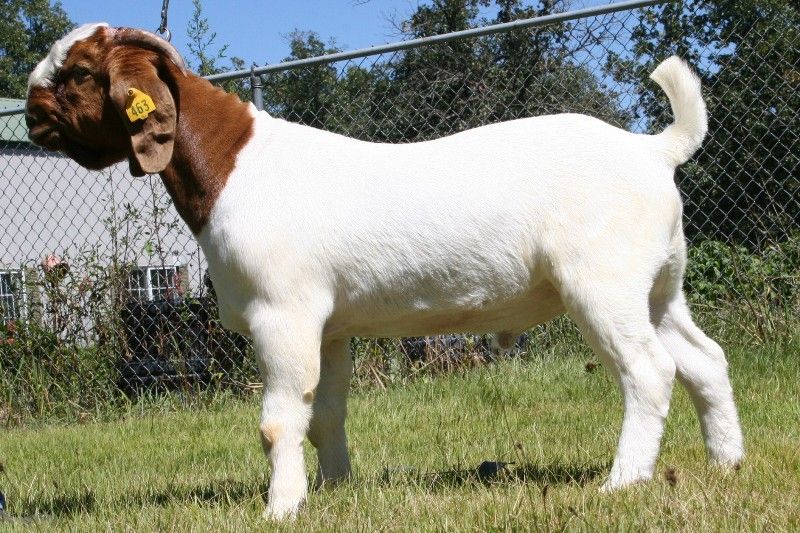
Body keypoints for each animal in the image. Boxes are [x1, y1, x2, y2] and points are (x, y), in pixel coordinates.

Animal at [26, 24, 744, 519]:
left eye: (79, 71)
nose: (29, 113)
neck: (234, 165)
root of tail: (653, 150)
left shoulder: (282, 313)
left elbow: (279, 419)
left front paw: (280, 506)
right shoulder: (329, 326)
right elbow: (324, 413)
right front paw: (334, 487)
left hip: (604, 280)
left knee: (649, 368)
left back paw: (623, 480)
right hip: (658, 285)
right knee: (704, 358)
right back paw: (726, 462)